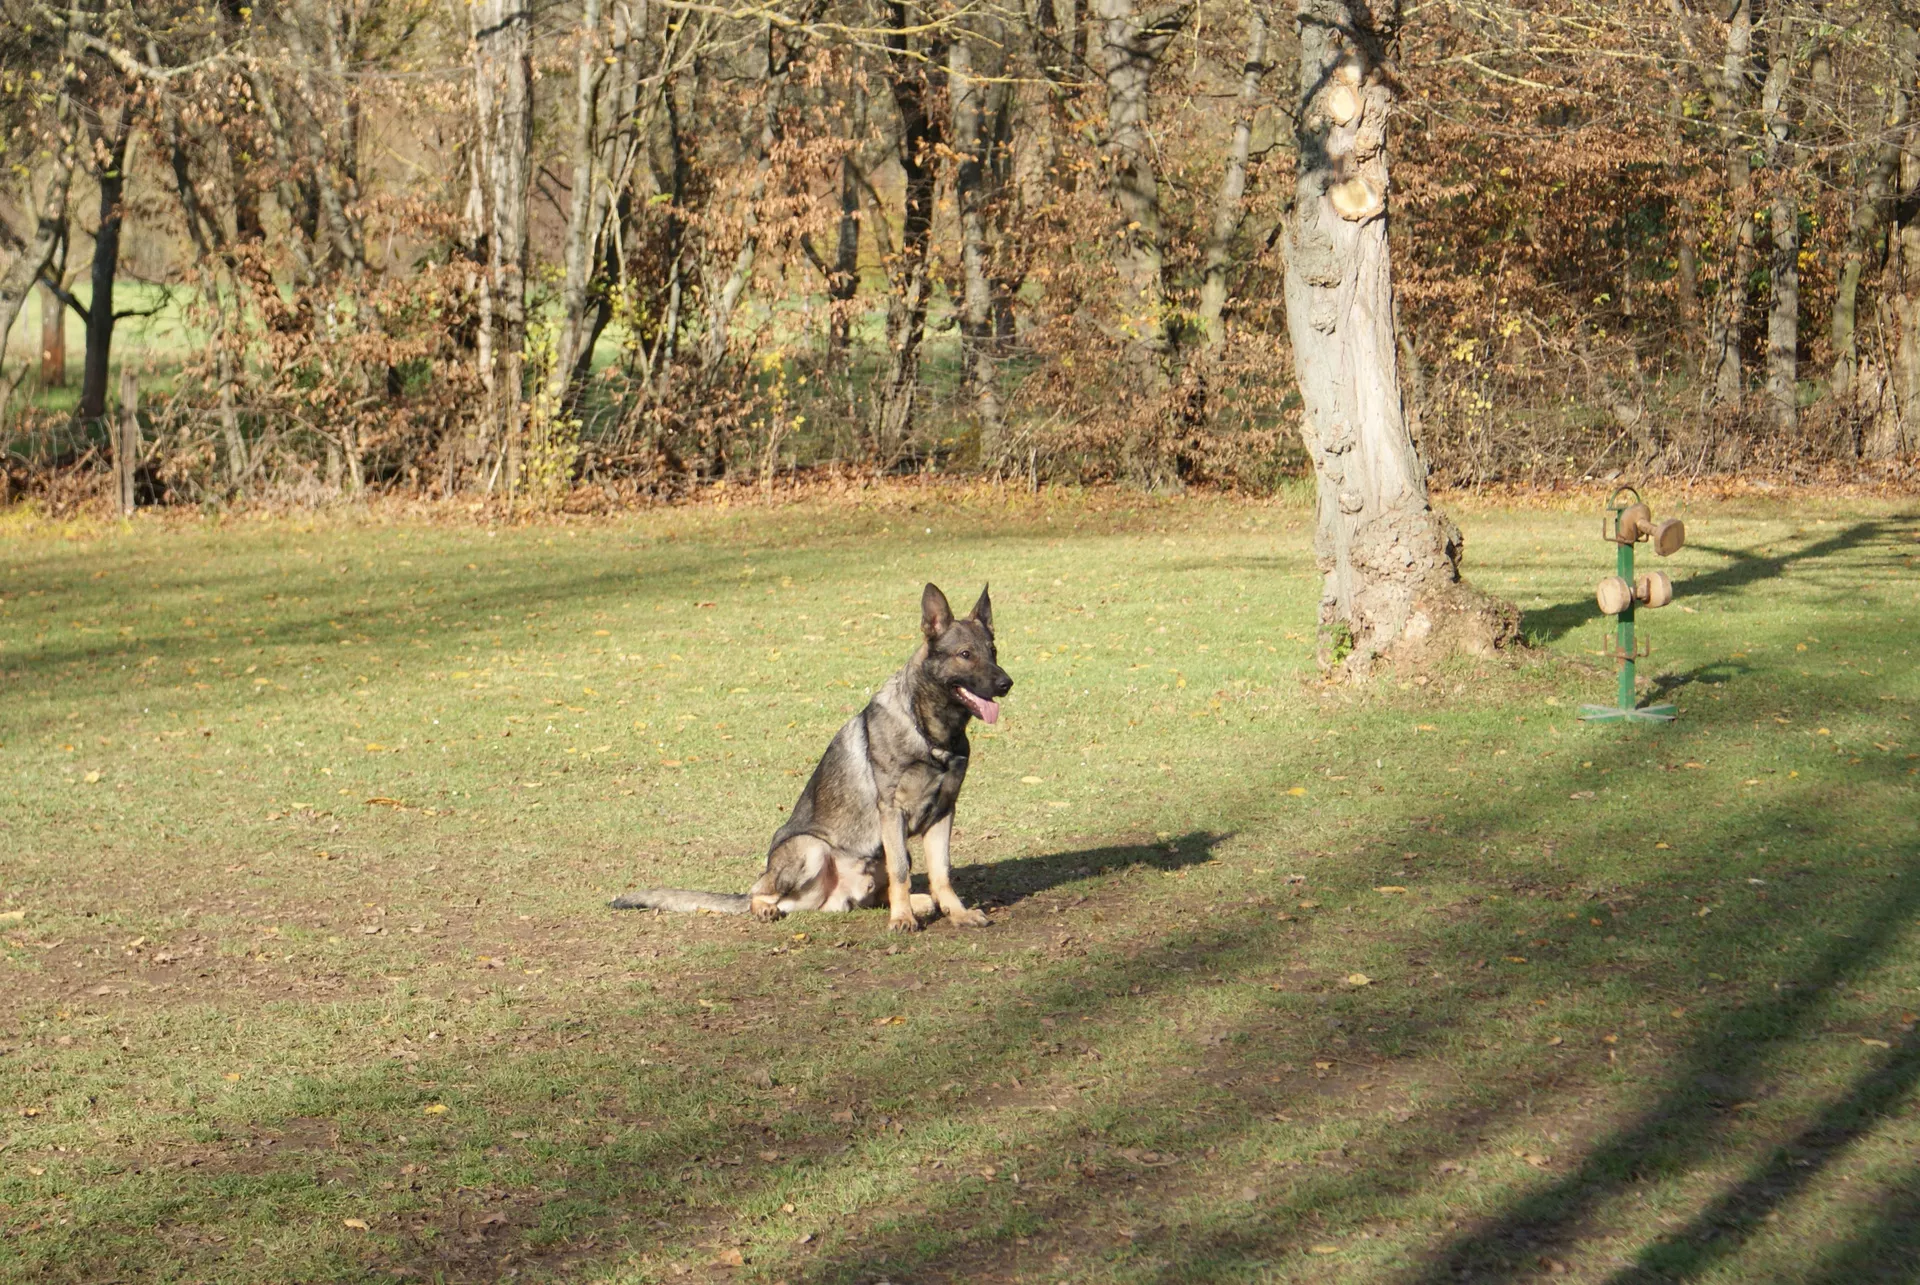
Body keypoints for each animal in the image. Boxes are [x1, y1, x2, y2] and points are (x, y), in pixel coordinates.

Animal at [611, 583, 1012, 933]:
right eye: (965, 654)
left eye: (993, 651)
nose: (1006, 684)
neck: (931, 733)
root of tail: (835, 898)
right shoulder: (892, 812)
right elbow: (901, 871)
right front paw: (902, 920)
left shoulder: (943, 813)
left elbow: (942, 873)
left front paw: (957, 913)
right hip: (811, 848)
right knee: (760, 893)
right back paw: (767, 909)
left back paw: (920, 903)